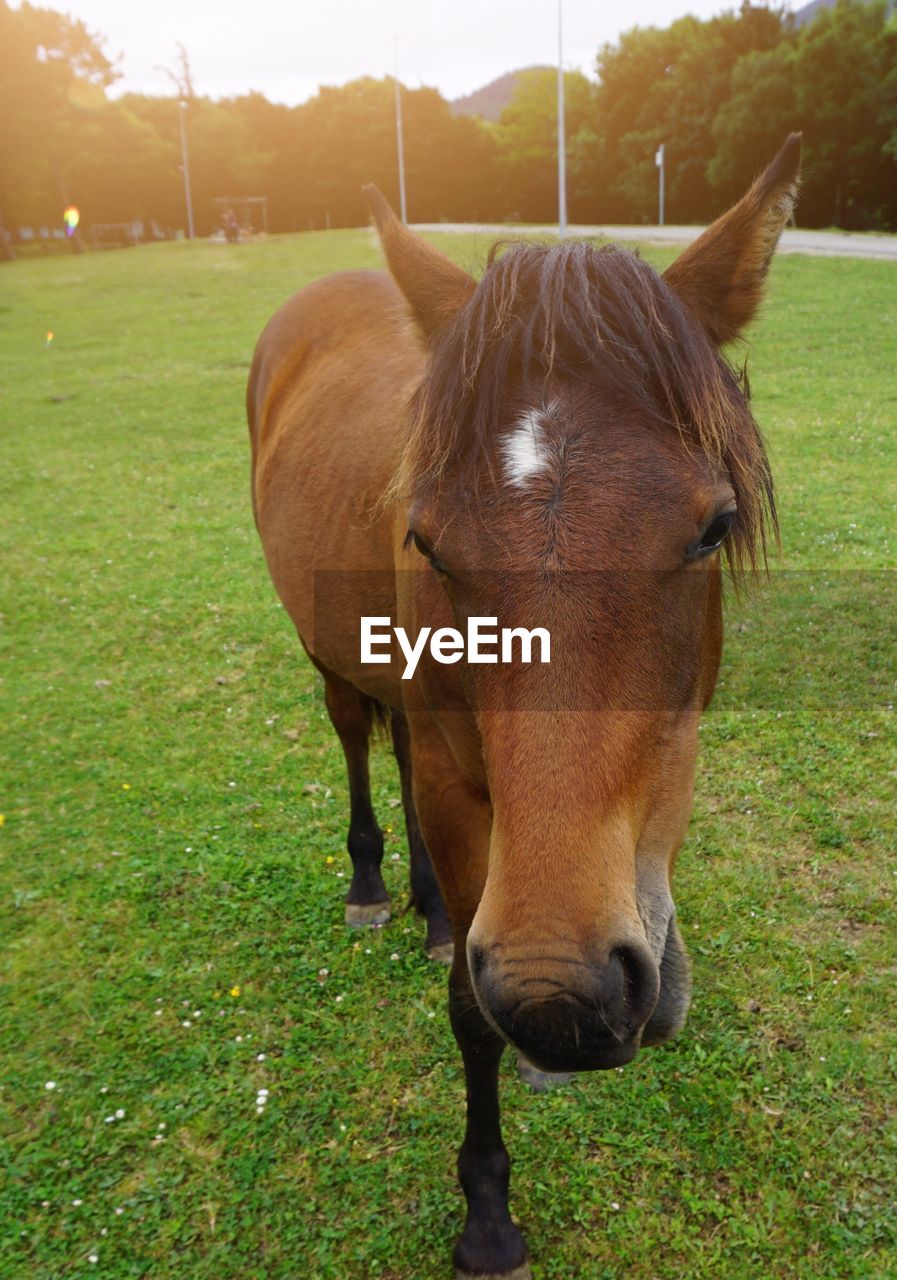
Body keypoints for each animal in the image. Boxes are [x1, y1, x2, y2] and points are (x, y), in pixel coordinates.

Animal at [244, 135, 798, 1274]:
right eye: (426, 540)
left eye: (714, 527)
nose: (563, 994)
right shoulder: (463, 787)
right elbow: (469, 1012)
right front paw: (488, 1215)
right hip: (331, 662)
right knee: (359, 746)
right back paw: (375, 885)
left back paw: (428, 908)